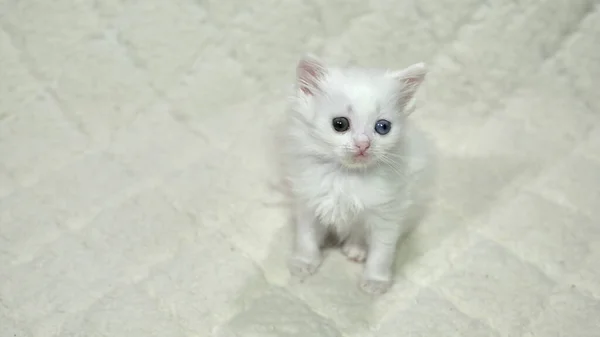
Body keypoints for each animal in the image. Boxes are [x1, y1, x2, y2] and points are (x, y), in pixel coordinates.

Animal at [282, 53, 432, 292]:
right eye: (340, 124)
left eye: (383, 127)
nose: (364, 144)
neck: (346, 176)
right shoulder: (308, 201)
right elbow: (306, 237)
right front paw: (304, 262)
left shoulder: (388, 213)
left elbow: (382, 251)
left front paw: (376, 281)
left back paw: (356, 248)